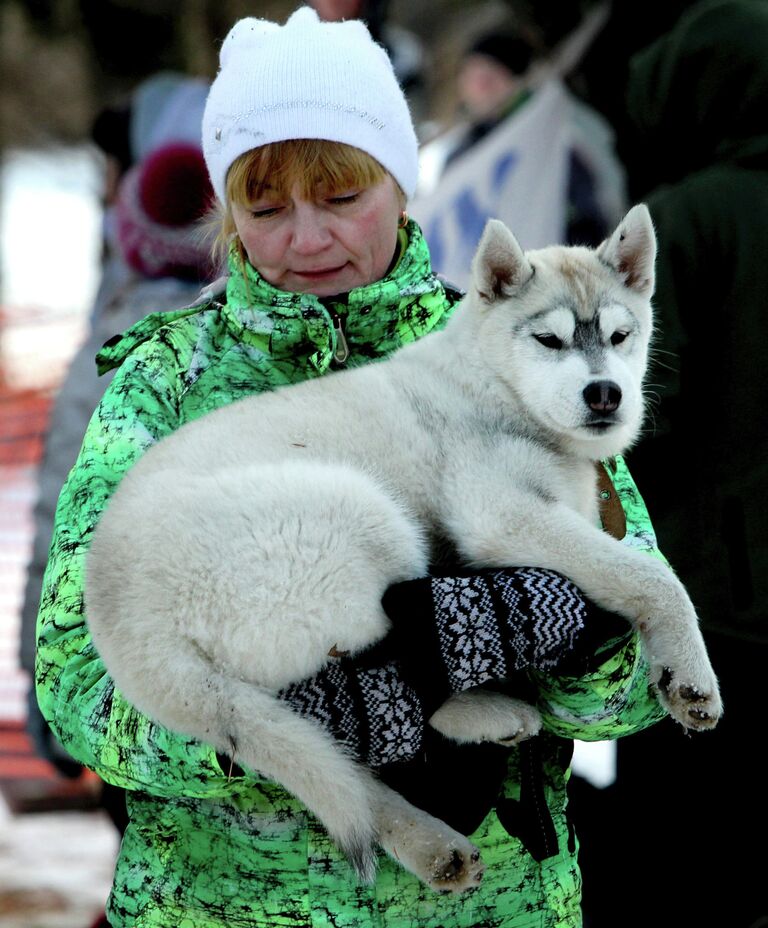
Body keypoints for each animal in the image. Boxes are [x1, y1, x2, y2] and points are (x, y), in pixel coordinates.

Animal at [87, 205, 724, 892]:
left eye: (620, 335)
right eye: (549, 341)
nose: (606, 393)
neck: (489, 388)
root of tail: (126, 622)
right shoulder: (498, 515)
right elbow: (654, 579)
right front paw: (691, 677)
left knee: (344, 765)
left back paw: (428, 843)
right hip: (369, 518)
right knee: (395, 687)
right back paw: (485, 716)